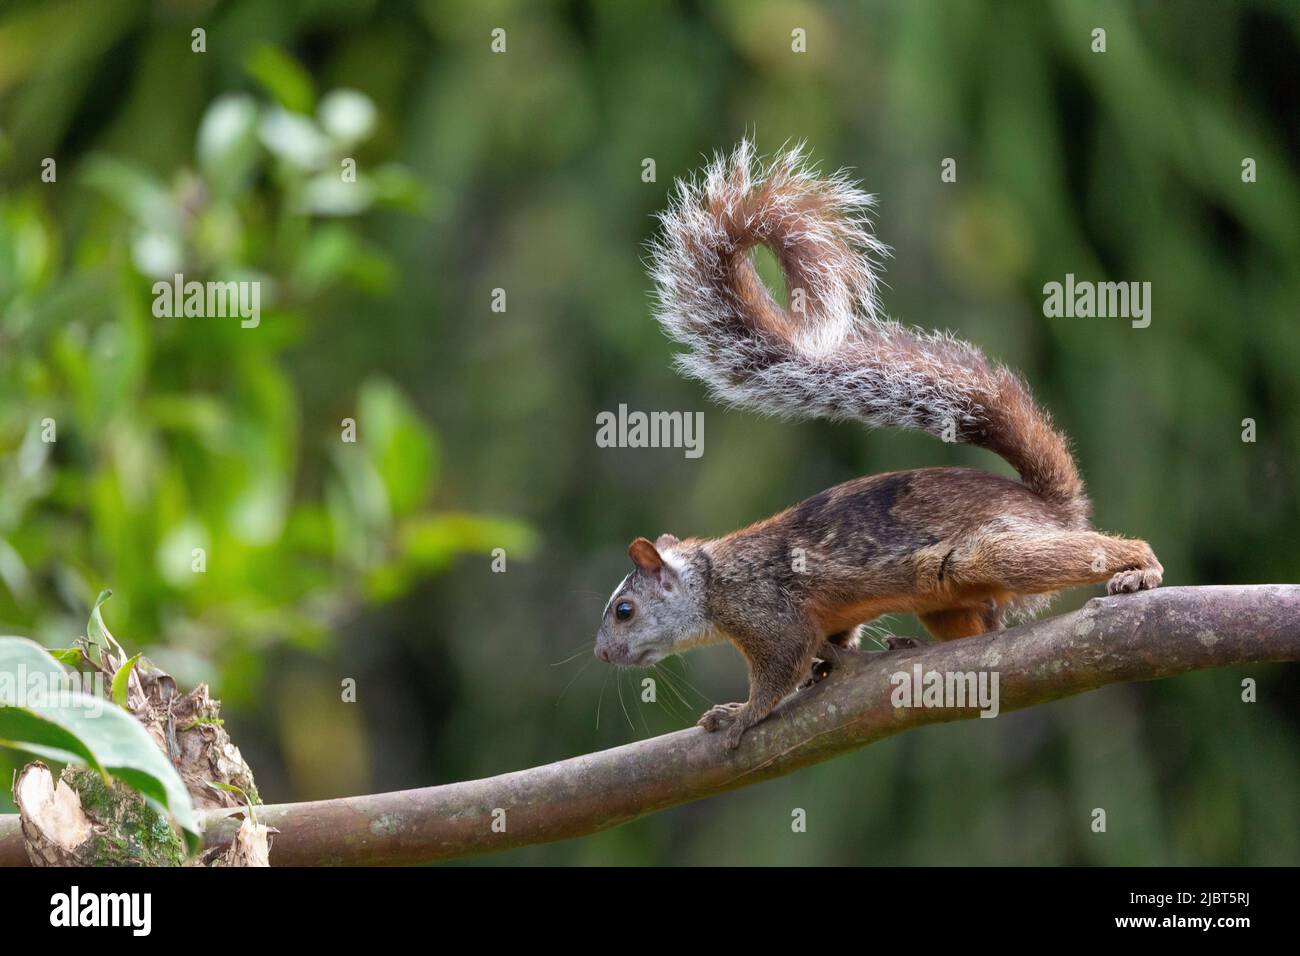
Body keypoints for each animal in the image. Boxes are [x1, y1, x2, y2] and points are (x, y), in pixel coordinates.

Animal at [595, 141, 1164, 749]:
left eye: (625, 610)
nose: (602, 654)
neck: (710, 581)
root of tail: (1050, 506)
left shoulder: (768, 613)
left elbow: (780, 671)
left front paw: (739, 715)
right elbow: (834, 642)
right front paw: (824, 670)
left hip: (996, 549)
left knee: (1084, 553)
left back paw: (1139, 568)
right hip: (950, 594)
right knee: (979, 625)